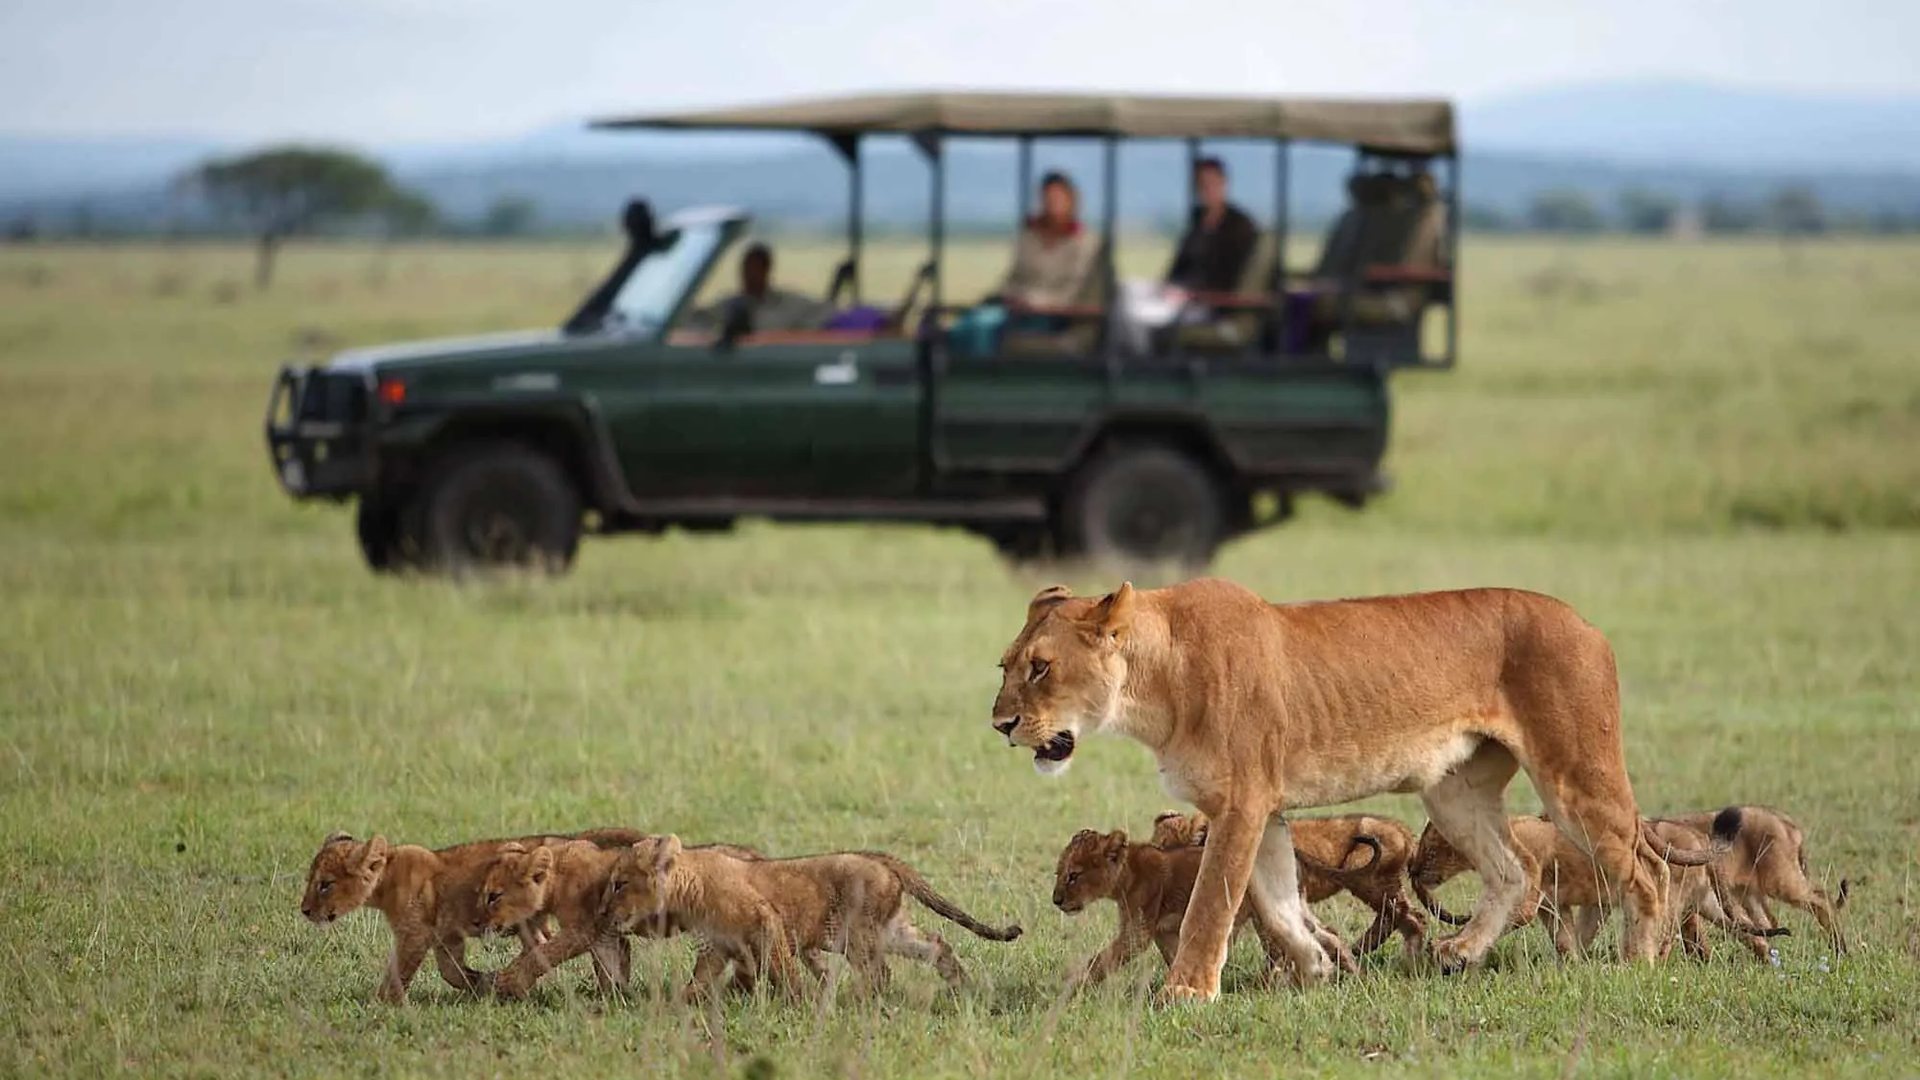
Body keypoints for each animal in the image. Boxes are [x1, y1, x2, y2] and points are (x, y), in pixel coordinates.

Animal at [299, 828, 647, 1002]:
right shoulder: (445, 936)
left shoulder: (415, 934)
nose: (304, 910)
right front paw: (483, 982)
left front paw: (382, 1004)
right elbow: (450, 972)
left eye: (325, 884)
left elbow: (399, 972)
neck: (387, 880)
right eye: (311, 880)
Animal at [603, 836, 1023, 1002]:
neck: (688, 888)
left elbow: (782, 969)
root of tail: (883, 859)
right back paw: (962, 984)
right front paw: (682, 1003)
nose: (604, 914)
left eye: (620, 883)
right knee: (936, 944)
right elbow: (701, 981)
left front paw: (799, 1002)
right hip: (891, 929)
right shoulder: (718, 947)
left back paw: (856, 1001)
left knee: (880, 973)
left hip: (857, 933)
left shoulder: (766, 922)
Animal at [1051, 828, 1357, 993]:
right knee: (1327, 934)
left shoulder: (1138, 931)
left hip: (1264, 913)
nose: (1056, 900)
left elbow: (1101, 960)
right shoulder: (1162, 931)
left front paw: (1073, 986)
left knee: (1284, 951)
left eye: (1073, 876)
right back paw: (1352, 972)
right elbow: (1174, 957)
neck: (1126, 875)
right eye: (1059, 873)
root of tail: (1295, 854)